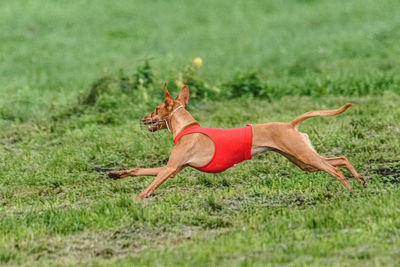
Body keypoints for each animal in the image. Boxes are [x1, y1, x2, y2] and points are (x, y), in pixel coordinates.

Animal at [107, 85, 366, 198]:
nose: (143, 119)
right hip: (303, 160)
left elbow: (149, 187)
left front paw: (137, 199)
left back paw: (350, 190)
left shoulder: (170, 169)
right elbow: (138, 170)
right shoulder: (172, 168)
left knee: (335, 168)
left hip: (303, 156)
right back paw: (360, 181)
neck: (187, 129)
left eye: (155, 108)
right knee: (340, 158)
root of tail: (289, 124)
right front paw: (116, 174)